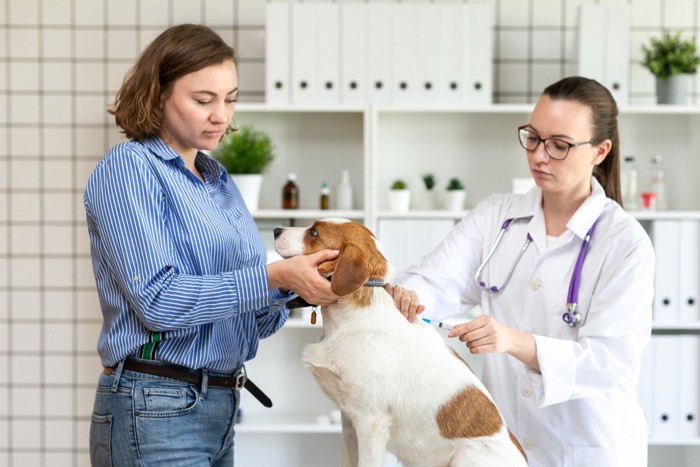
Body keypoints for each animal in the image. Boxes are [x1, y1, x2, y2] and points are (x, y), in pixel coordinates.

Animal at [274, 219, 524, 467]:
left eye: (314, 233)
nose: (276, 230)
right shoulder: (349, 421)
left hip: (467, 454)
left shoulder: (370, 423)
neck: (349, 320)